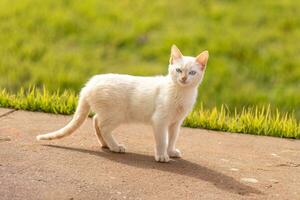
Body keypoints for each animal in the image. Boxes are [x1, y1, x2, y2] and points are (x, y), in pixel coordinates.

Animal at [37, 44, 209, 162]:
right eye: (178, 70)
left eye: (192, 72)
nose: (184, 79)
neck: (181, 92)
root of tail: (89, 84)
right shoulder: (160, 121)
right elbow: (162, 140)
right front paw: (161, 155)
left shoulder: (175, 123)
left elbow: (172, 138)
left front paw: (171, 151)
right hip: (117, 114)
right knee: (103, 126)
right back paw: (114, 146)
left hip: (110, 113)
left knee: (96, 121)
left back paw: (105, 144)